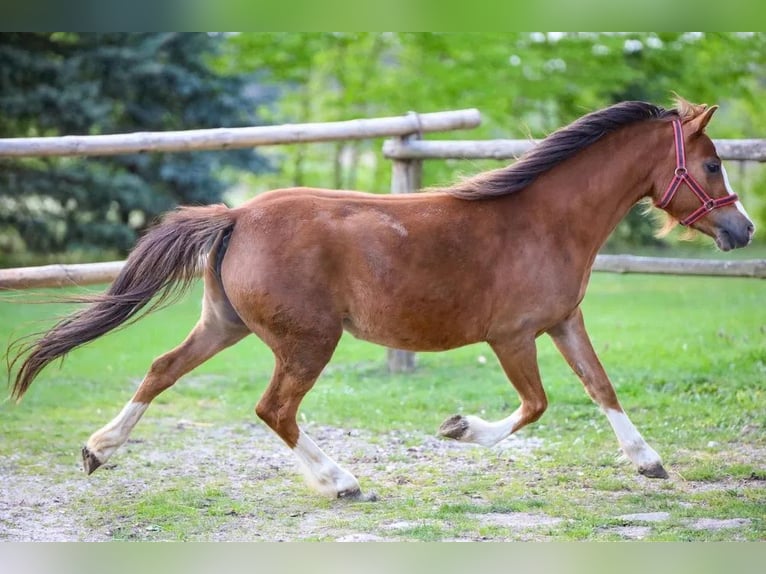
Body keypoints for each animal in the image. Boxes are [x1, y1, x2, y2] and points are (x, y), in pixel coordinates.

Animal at [7, 97, 756, 502]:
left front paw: (649, 462)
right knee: (274, 409)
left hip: (225, 326)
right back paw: (340, 480)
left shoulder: (563, 322)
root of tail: (236, 216)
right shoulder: (512, 336)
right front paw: (458, 428)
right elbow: (536, 406)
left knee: (162, 369)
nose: (743, 229)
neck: (544, 220)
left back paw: (98, 449)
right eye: (713, 164)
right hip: (308, 340)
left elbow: (601, 388)